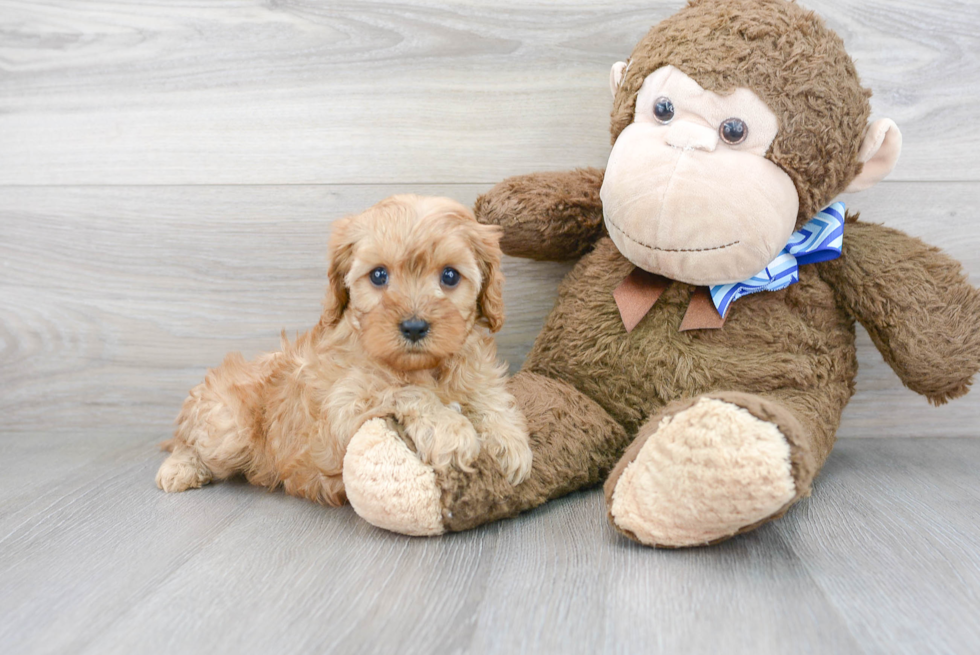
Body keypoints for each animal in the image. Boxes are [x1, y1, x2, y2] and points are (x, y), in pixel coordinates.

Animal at [157, 195, 532, 508]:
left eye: (450, 276)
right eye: (378, 275)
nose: (414, 327)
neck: (424, 366)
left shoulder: (477, 372)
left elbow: (491, 398)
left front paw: (509, 441)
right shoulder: (341, 413)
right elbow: (405, 391)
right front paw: (451, 430)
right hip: (227, 426)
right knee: (188, 442)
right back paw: (179, 469)